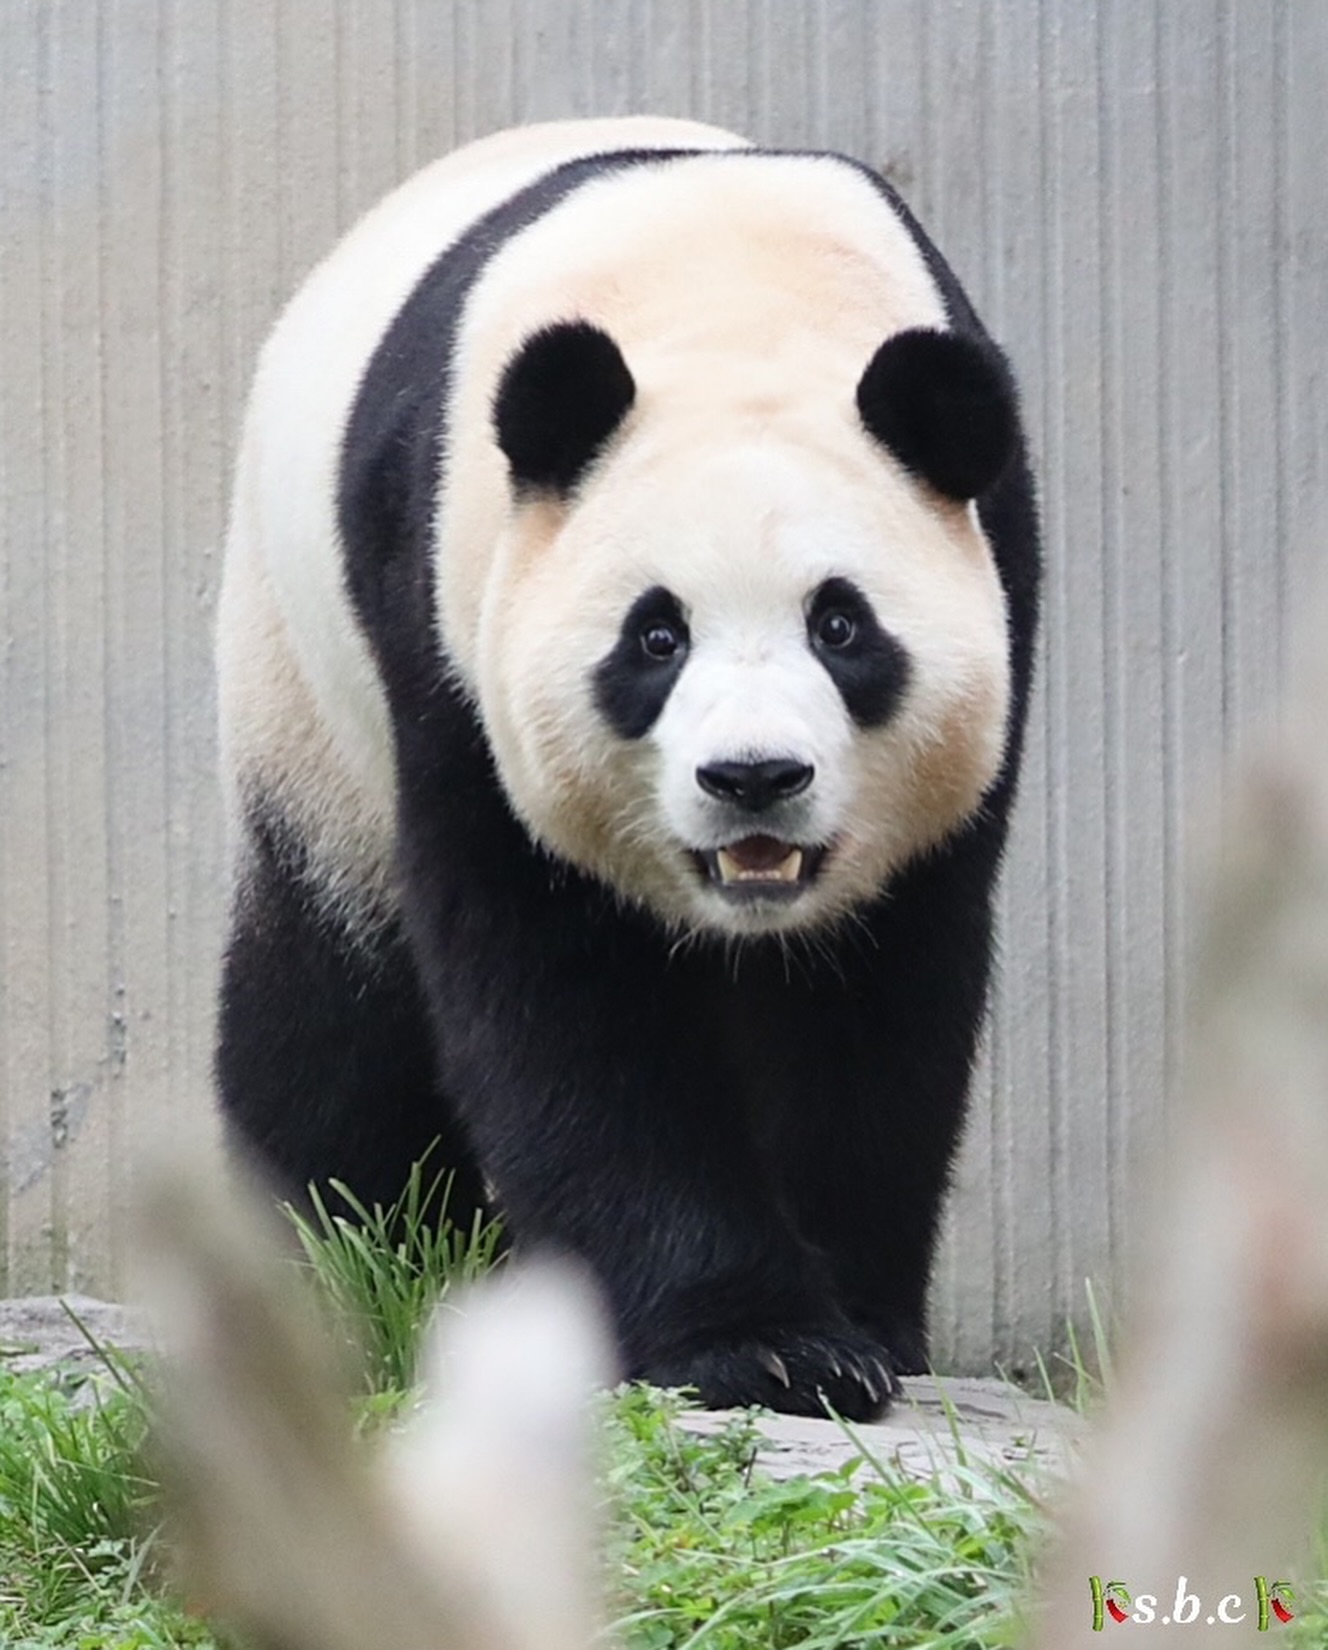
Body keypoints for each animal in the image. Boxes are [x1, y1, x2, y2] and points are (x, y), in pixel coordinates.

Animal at [217, 113, 1042, 1419]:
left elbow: (874, 1006)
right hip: (299, 688)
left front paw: (859, 1324)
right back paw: (343, 1254)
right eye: (656, 637)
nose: (752, 778)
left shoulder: (992, 584)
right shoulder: (452, 625)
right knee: (324, 994)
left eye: (839, 626)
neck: (728, 296)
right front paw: (753, 1341)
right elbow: (562, 997)